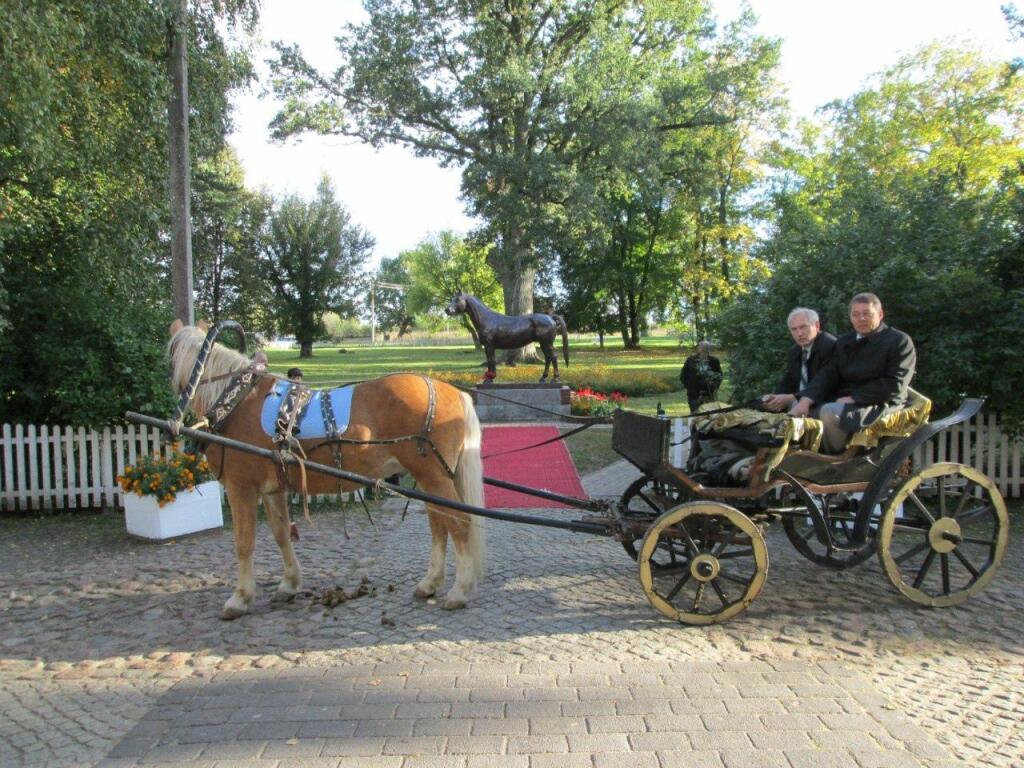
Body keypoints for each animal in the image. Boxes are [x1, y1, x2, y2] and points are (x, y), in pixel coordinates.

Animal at [165, 321, 485, 622]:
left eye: (169, 356)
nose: (173, 419)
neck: (236, 401)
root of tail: (452, 391)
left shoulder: (240, 488)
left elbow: (244, 544)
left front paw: (240, 598)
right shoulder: (272, 489)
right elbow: (282, 534)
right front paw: (289, 583)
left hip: (434, 477)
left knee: (459, 524)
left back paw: (459, 590)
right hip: (430, 478)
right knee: (440, 526)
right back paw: (430, 583)